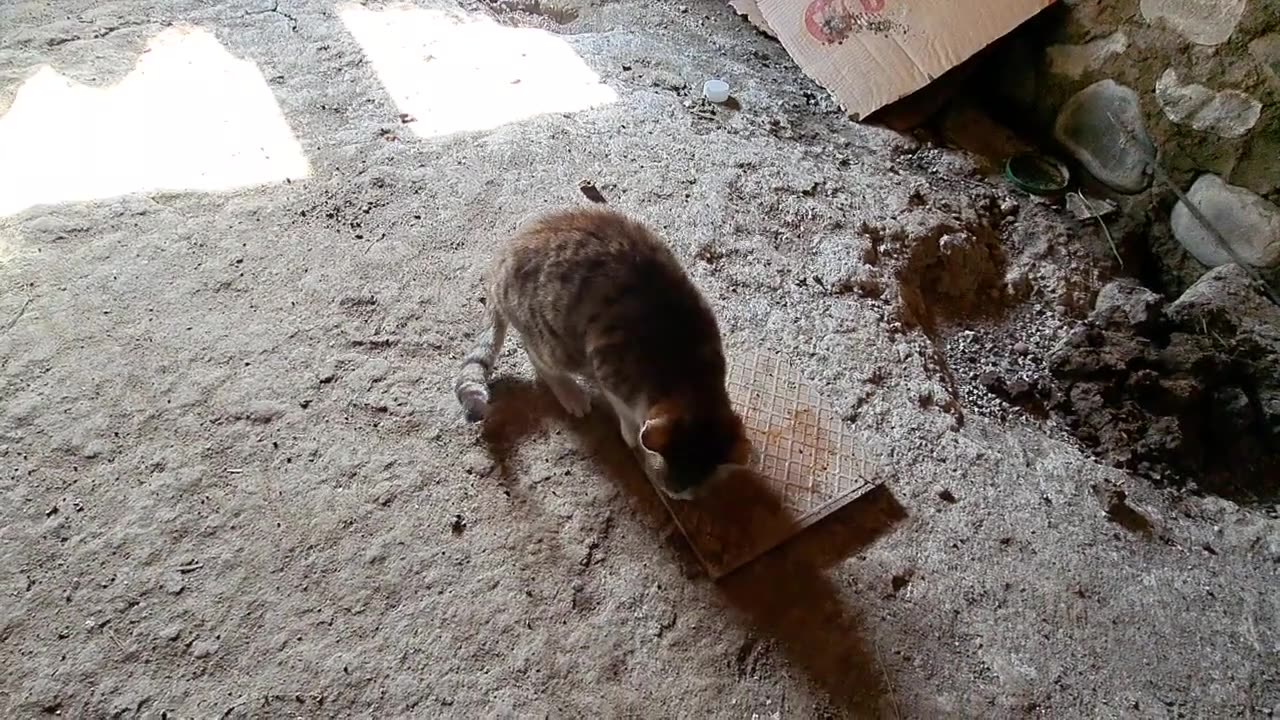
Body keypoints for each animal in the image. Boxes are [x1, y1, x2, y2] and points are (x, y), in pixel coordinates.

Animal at [455, 204, 747, 497]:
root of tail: (498, 265)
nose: (677, 496)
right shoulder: (607, 369)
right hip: (555, 342)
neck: (689, 376)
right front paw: (631, 432)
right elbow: (624, 410)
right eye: (671, 483)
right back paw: (571, 394)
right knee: (537, 357)